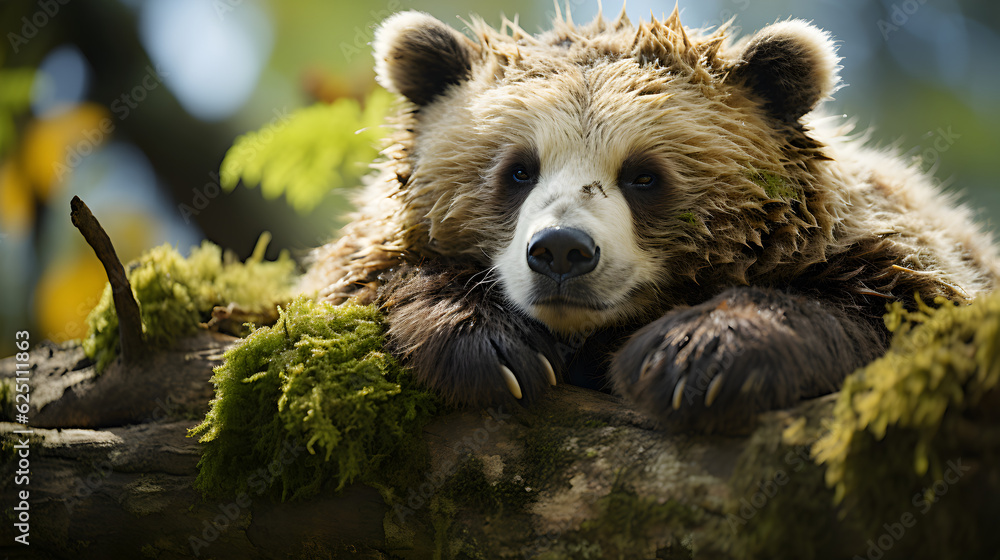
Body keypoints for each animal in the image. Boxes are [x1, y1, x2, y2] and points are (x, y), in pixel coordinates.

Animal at [302, 7, 999, 433]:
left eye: (643, 175)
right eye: (519, 170)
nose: (561, 251)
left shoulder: (873, 240)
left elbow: (901, 300)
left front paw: (691, 355)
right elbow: (364, 282)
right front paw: (497, 347)